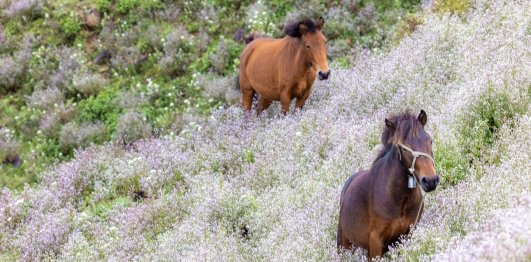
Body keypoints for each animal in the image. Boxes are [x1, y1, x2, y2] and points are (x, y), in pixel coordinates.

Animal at [340, 109, 440, 258]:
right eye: (404, 148)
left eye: (430, 141)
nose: (430, 180)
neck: (397, 198)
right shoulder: (376, 241)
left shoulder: (406, 235)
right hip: (344, 245)